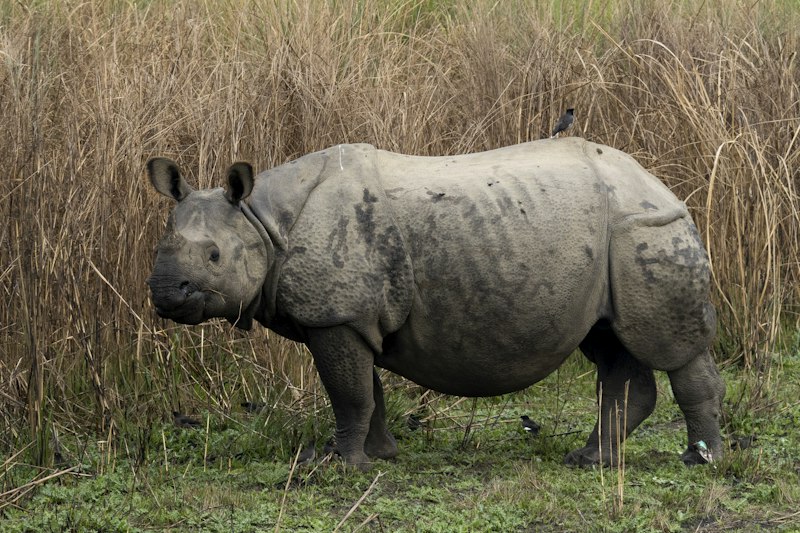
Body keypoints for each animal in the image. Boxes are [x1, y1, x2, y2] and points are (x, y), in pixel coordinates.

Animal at [146, 138, 724, 469]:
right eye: (160, 247)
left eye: (215, 256)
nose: (164, 293)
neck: (262, 220)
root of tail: (659, 183)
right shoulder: (352, 316)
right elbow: (368, 391)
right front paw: (377, 456)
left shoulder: (336, 315)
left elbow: (348, 393)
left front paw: (338, 465)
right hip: (609, 239)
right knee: (607, 342)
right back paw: (588, 460)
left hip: (645, 227)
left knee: (671, 349)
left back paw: (700, 461)